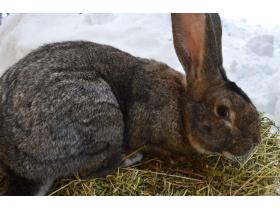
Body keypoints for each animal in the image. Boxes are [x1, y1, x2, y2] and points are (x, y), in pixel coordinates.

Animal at [0, 13, 260, 196]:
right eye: (223, 111)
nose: (255, 142)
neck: (181, 107)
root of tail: (21, 164)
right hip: (102, 116)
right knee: (89, 170)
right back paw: (130, 160)